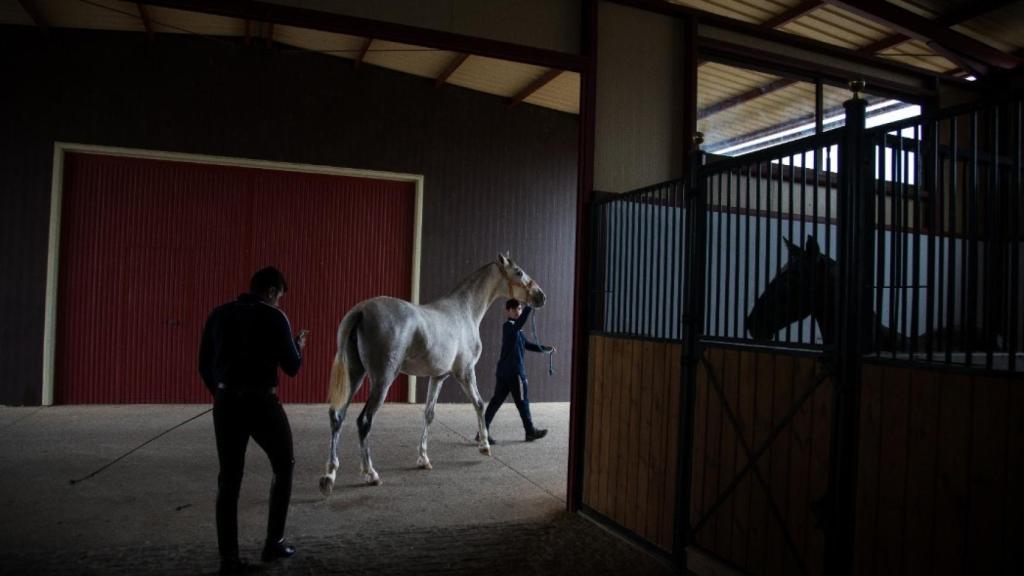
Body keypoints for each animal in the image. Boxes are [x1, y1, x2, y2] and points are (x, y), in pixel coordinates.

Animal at [317, 253, 544, 491]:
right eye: (518, 271)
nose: (540, 296)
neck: (464, 312)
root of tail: (361, 311)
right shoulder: (465, 372)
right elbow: (480, 404)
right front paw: (484, 445)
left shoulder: (438, 377)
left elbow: (429, 414)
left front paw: (423, 459)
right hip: (382, 380)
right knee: (364, 421)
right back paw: (371, 473)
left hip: (355, 375)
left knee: (337, 417)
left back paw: (329, 475)